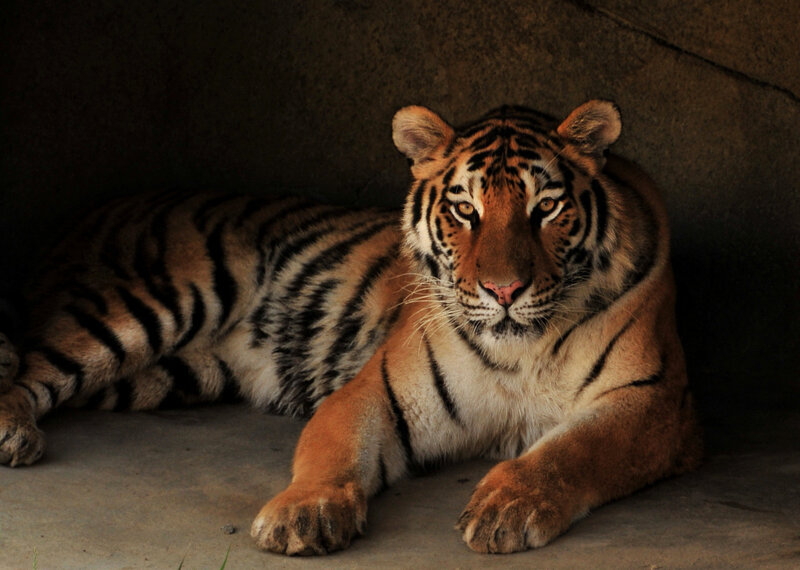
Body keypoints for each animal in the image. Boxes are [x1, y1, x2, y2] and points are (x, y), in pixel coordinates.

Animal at [0, 100, 701, 555]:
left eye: (546, 208)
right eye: (465, 210)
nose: (504, 291)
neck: (519, 353)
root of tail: (90, 209)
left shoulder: (653, 401)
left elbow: (572, 451)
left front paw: (508, 505)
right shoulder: (377, 390)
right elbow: (332, 445)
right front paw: (302, 513)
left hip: (164, 374)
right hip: (155, 303)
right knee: (33, 364)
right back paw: (14, 434)